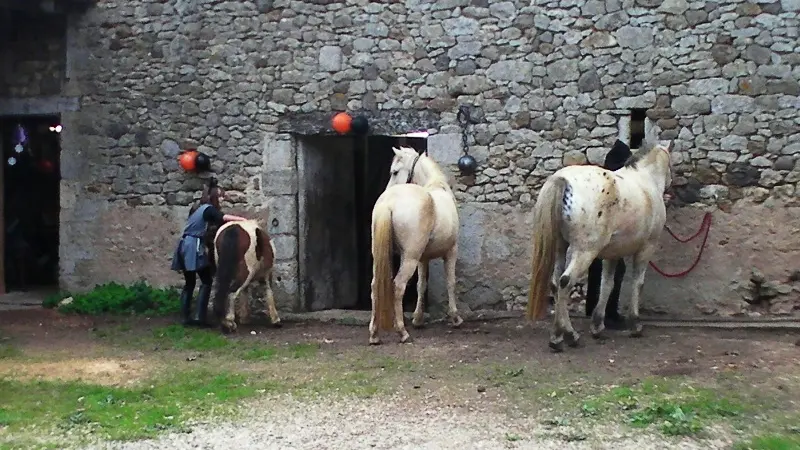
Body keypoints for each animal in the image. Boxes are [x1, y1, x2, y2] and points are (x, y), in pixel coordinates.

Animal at [368, 145, 462, 344]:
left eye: (395, 172)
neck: (436, 185)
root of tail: (388, 202)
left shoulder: (422, 258)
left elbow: (421, 285)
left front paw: (418, 319)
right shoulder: (451, 251)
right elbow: (450, 282)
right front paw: (455, 317)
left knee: (374, 286)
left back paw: (374, 335)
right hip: (409, 258)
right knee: (398, 286)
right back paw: (402, 332)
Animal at [528, 140, 672, 352]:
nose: (671, 184)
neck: (645, 181)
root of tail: (562, 180)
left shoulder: (612, 254)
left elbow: (607, 284)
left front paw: (597, 325)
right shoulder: (646, 249)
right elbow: (638, 283)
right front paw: (635, 324)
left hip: (561, 248)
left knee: (555, 284)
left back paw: (560, 335)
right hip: (585, 252)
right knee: (565, 283)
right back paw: (567, 336)